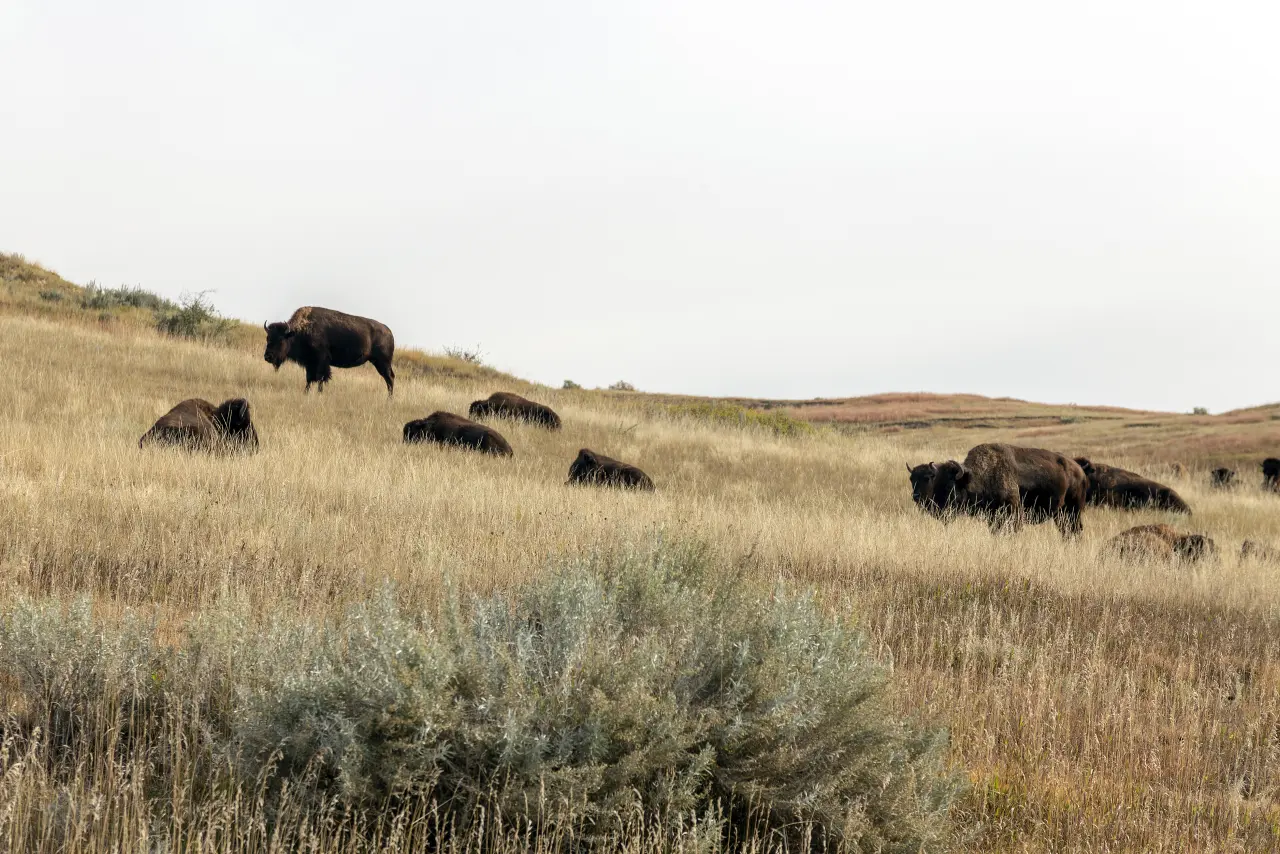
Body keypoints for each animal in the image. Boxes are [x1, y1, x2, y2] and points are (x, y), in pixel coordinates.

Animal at [264, 306, 395, 395]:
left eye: (281, 340)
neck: (297, 332)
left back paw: (389, 399)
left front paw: (319, 393)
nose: (268, 357)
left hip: (383, 363)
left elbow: (321, 378)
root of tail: (389, 332)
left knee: (390, 379)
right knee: (389, 379)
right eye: (268, 338)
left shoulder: (321, 361)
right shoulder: (309, 363)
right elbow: (309, 379)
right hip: (379, 363)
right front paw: (306, 393)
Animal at [908, 443, 1086, 536]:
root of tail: (1079, 470)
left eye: (948, 485)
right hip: (1061, 514)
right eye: (912, 480)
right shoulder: (993, 516)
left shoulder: (1013, 513)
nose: (917, 497)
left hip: (1072, 511)